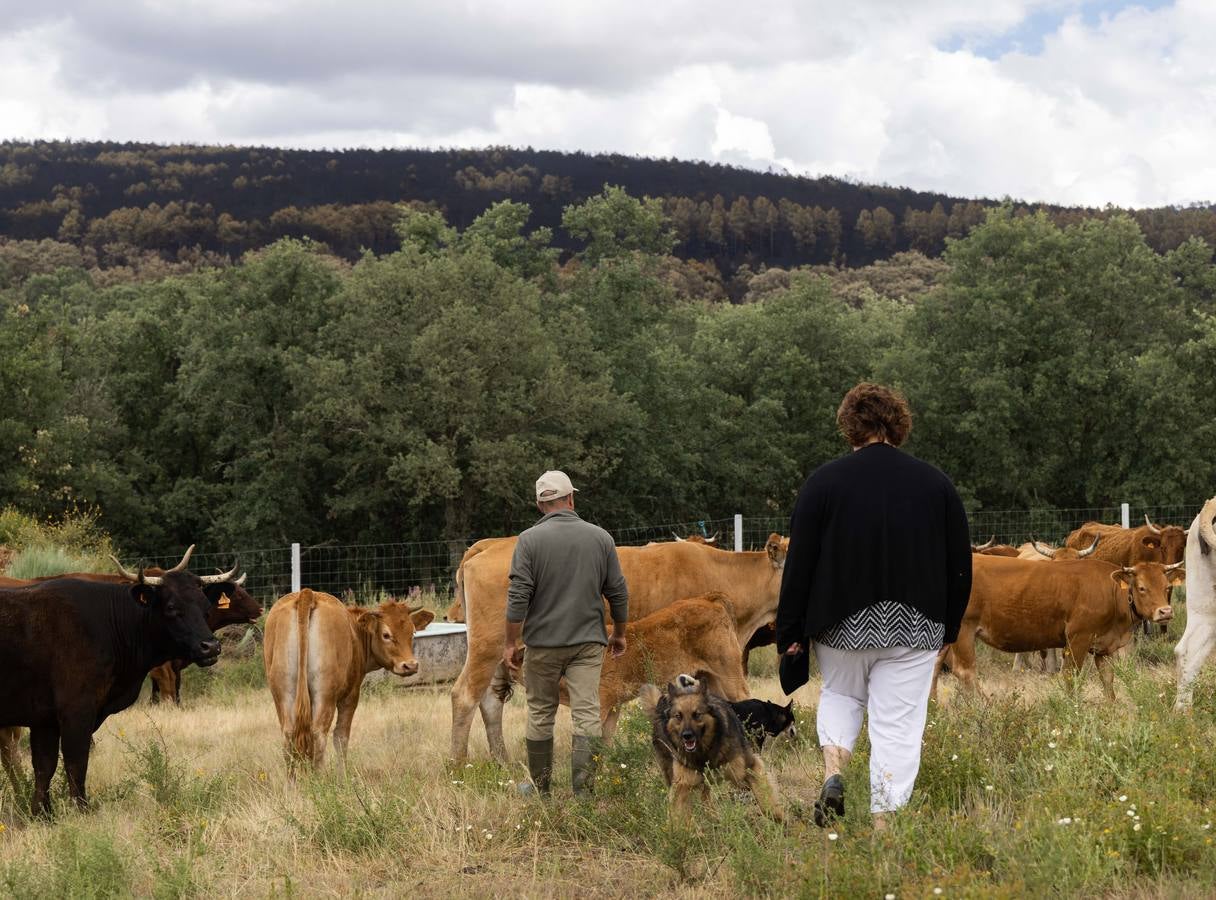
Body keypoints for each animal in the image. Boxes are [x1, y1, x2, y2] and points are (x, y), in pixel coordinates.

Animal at [449, 530, 787, 763]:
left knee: (490, 703)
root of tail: (489, 545)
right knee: (465, 697)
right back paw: (458, 764)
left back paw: (501, 761)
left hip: (498, 659)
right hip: (487, 649)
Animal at [642, 676, 783, 822]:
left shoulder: (748, 766)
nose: (686, 736)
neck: (705, 751)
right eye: (678, 716)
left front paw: (779, 818)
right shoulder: (682, 783)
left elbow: (765, 796)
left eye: (697, 714)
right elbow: (678, 813)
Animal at [933, 554, 1181, 695]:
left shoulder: (1105, 647)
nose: (1165, 611)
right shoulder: (1077, 639)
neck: (1110, 592)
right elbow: (1071, 677)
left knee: (933, 669)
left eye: (1167, 586)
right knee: (965, 672)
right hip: (964, 630)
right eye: (1141, 587)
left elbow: (1108, 680)